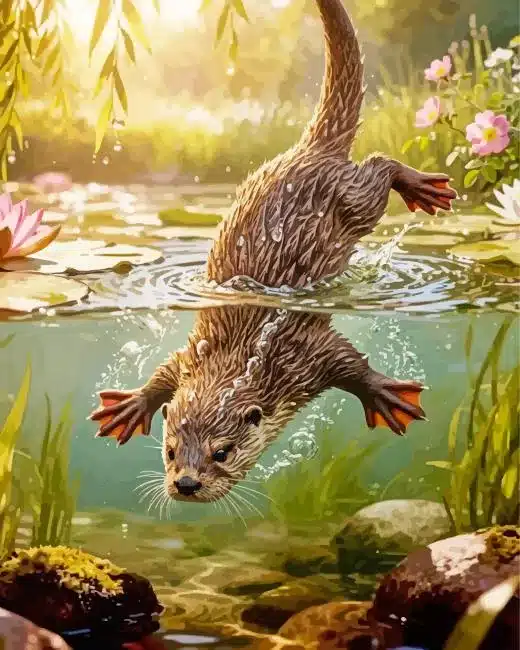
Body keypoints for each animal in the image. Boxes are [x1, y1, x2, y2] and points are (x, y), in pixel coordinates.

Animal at [90, 0, 456, 503]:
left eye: (222, 453)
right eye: (169, 450)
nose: (185, 483)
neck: (244, 362)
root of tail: (310, 149)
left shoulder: (303, 356)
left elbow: (348, 360)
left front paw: (386, 395)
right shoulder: (192, 357)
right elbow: (164, 373)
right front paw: (129, 405)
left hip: (355, 197)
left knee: (380, 165)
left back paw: (423, 187)